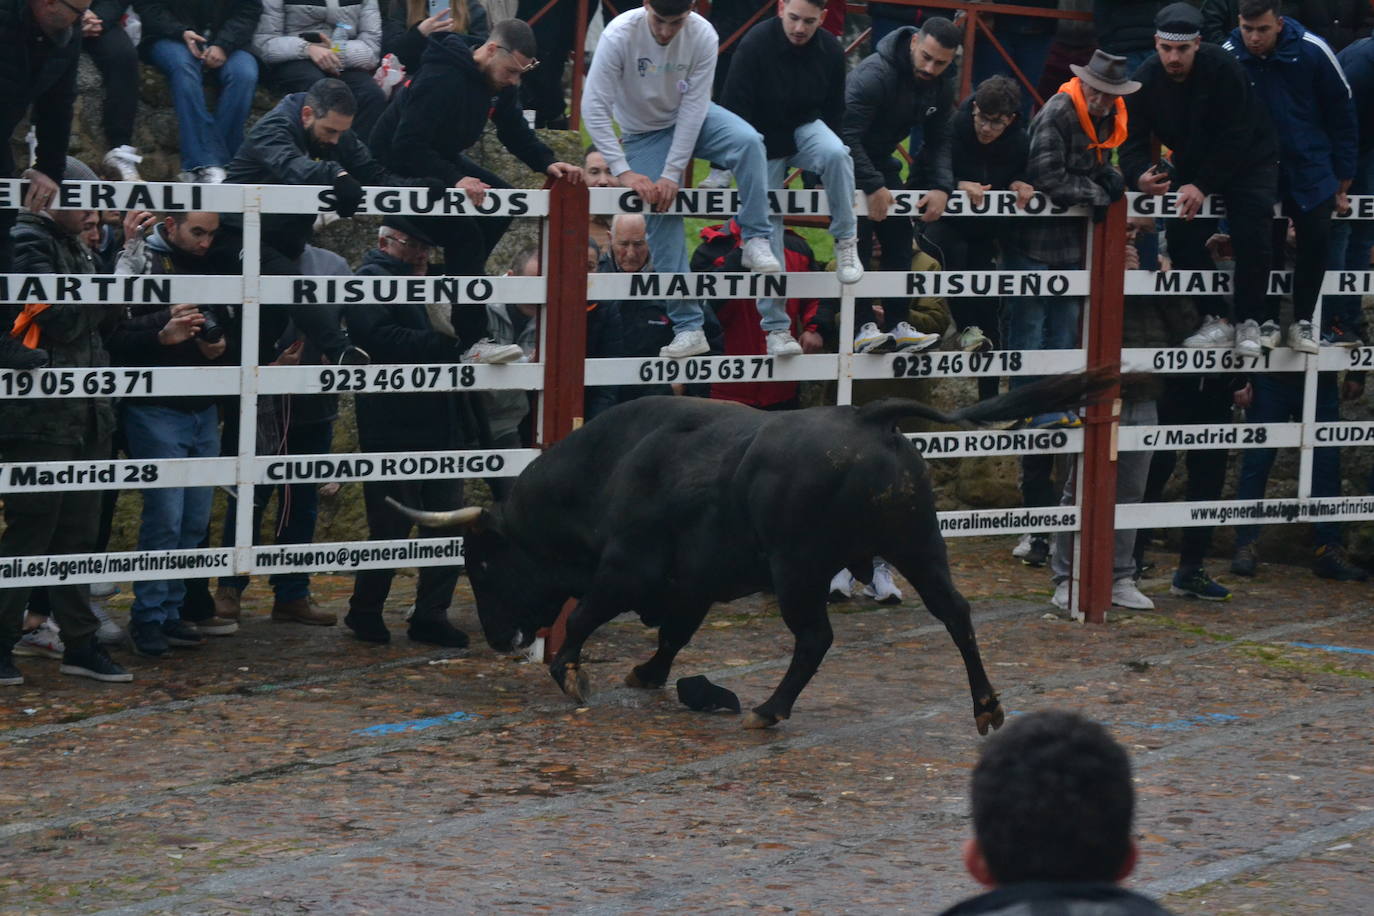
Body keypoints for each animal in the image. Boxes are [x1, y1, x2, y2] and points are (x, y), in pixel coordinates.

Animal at [390, 368, 1115, 736]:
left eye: (482, 565)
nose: (496, 637)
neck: (609, 468)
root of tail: (867, 416)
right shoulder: (689, 585)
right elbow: (672, 636)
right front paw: (646, 674)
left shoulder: (627, 570)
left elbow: (589, 615)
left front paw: (571, 673)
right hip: (916, 544)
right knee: (956, 613)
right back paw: (986, 706)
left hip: (798, 569)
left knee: (815, 638)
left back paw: (771, 707)